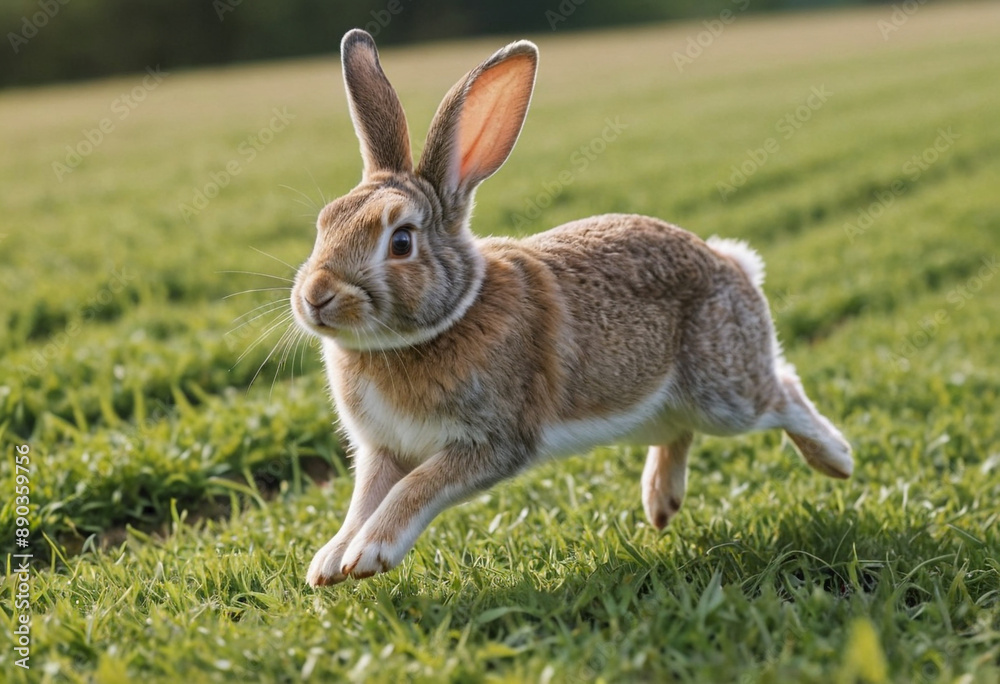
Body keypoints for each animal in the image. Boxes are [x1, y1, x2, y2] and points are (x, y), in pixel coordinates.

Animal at [291, 29, 853, 587]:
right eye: (324, 222)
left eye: (401, 241)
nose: (316, 296)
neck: (442, 321)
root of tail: (730, 264)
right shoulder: (382, 450)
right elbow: (363, 501)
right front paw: (329, 563)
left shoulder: (493, 442)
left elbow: (417, 488)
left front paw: (368, 555)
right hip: (651, 404)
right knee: (682, 429)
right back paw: (661, 504)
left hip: (724, 396)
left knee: (782, 390)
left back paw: (837, 460)